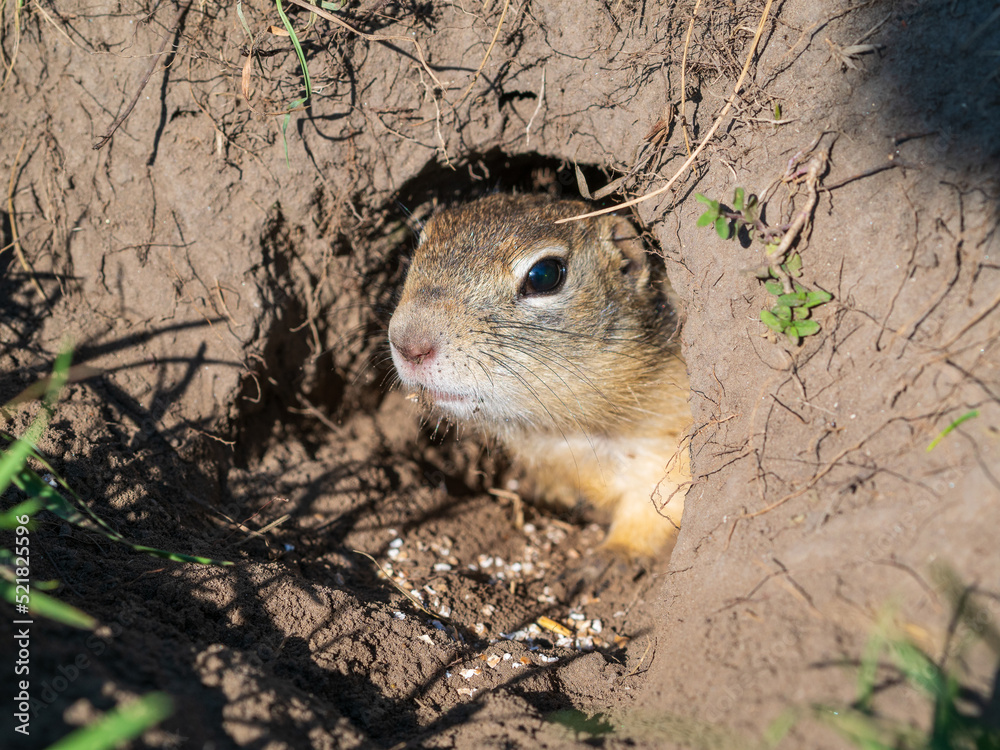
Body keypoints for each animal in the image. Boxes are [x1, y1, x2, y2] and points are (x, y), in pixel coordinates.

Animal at [386, 194, 692, 560]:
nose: (409, 344)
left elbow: (656, 508)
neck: (566, 435)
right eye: (419, 245)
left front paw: (609, 557)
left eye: (545, 275)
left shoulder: (668, 451)